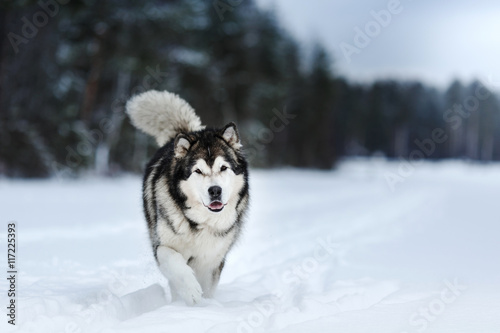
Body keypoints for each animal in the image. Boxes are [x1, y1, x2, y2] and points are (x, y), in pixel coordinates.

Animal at [126, 90, 249, 304]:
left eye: (223, 168)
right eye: (198, 171)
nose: (215, 191)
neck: (200, 223)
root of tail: (187, 132)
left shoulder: (212, 259)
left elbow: (208, 286)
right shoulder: (162, 246)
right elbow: (176, 264)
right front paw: (190, 292)